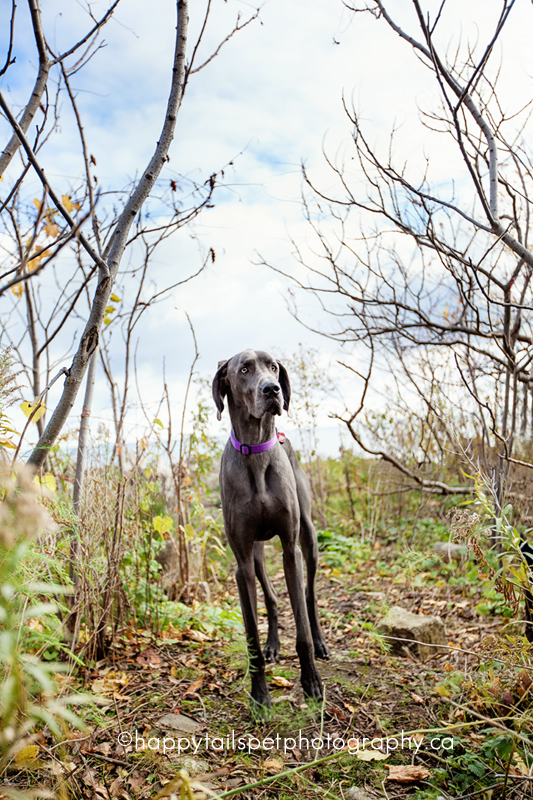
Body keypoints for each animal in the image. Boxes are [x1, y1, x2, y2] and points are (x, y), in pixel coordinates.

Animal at [212, 348, 328, 712]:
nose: (272, 390)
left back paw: (321, 642)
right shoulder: (242, 564)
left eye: (274, 367)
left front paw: (312, 683)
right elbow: (251, 632)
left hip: (309, 539)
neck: (256, 452)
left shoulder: (290, 549)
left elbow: (301, 628)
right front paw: (259, 695)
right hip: (258, 554)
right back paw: (273, 645)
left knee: (308, 595)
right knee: (273, 597)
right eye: (244, 369)